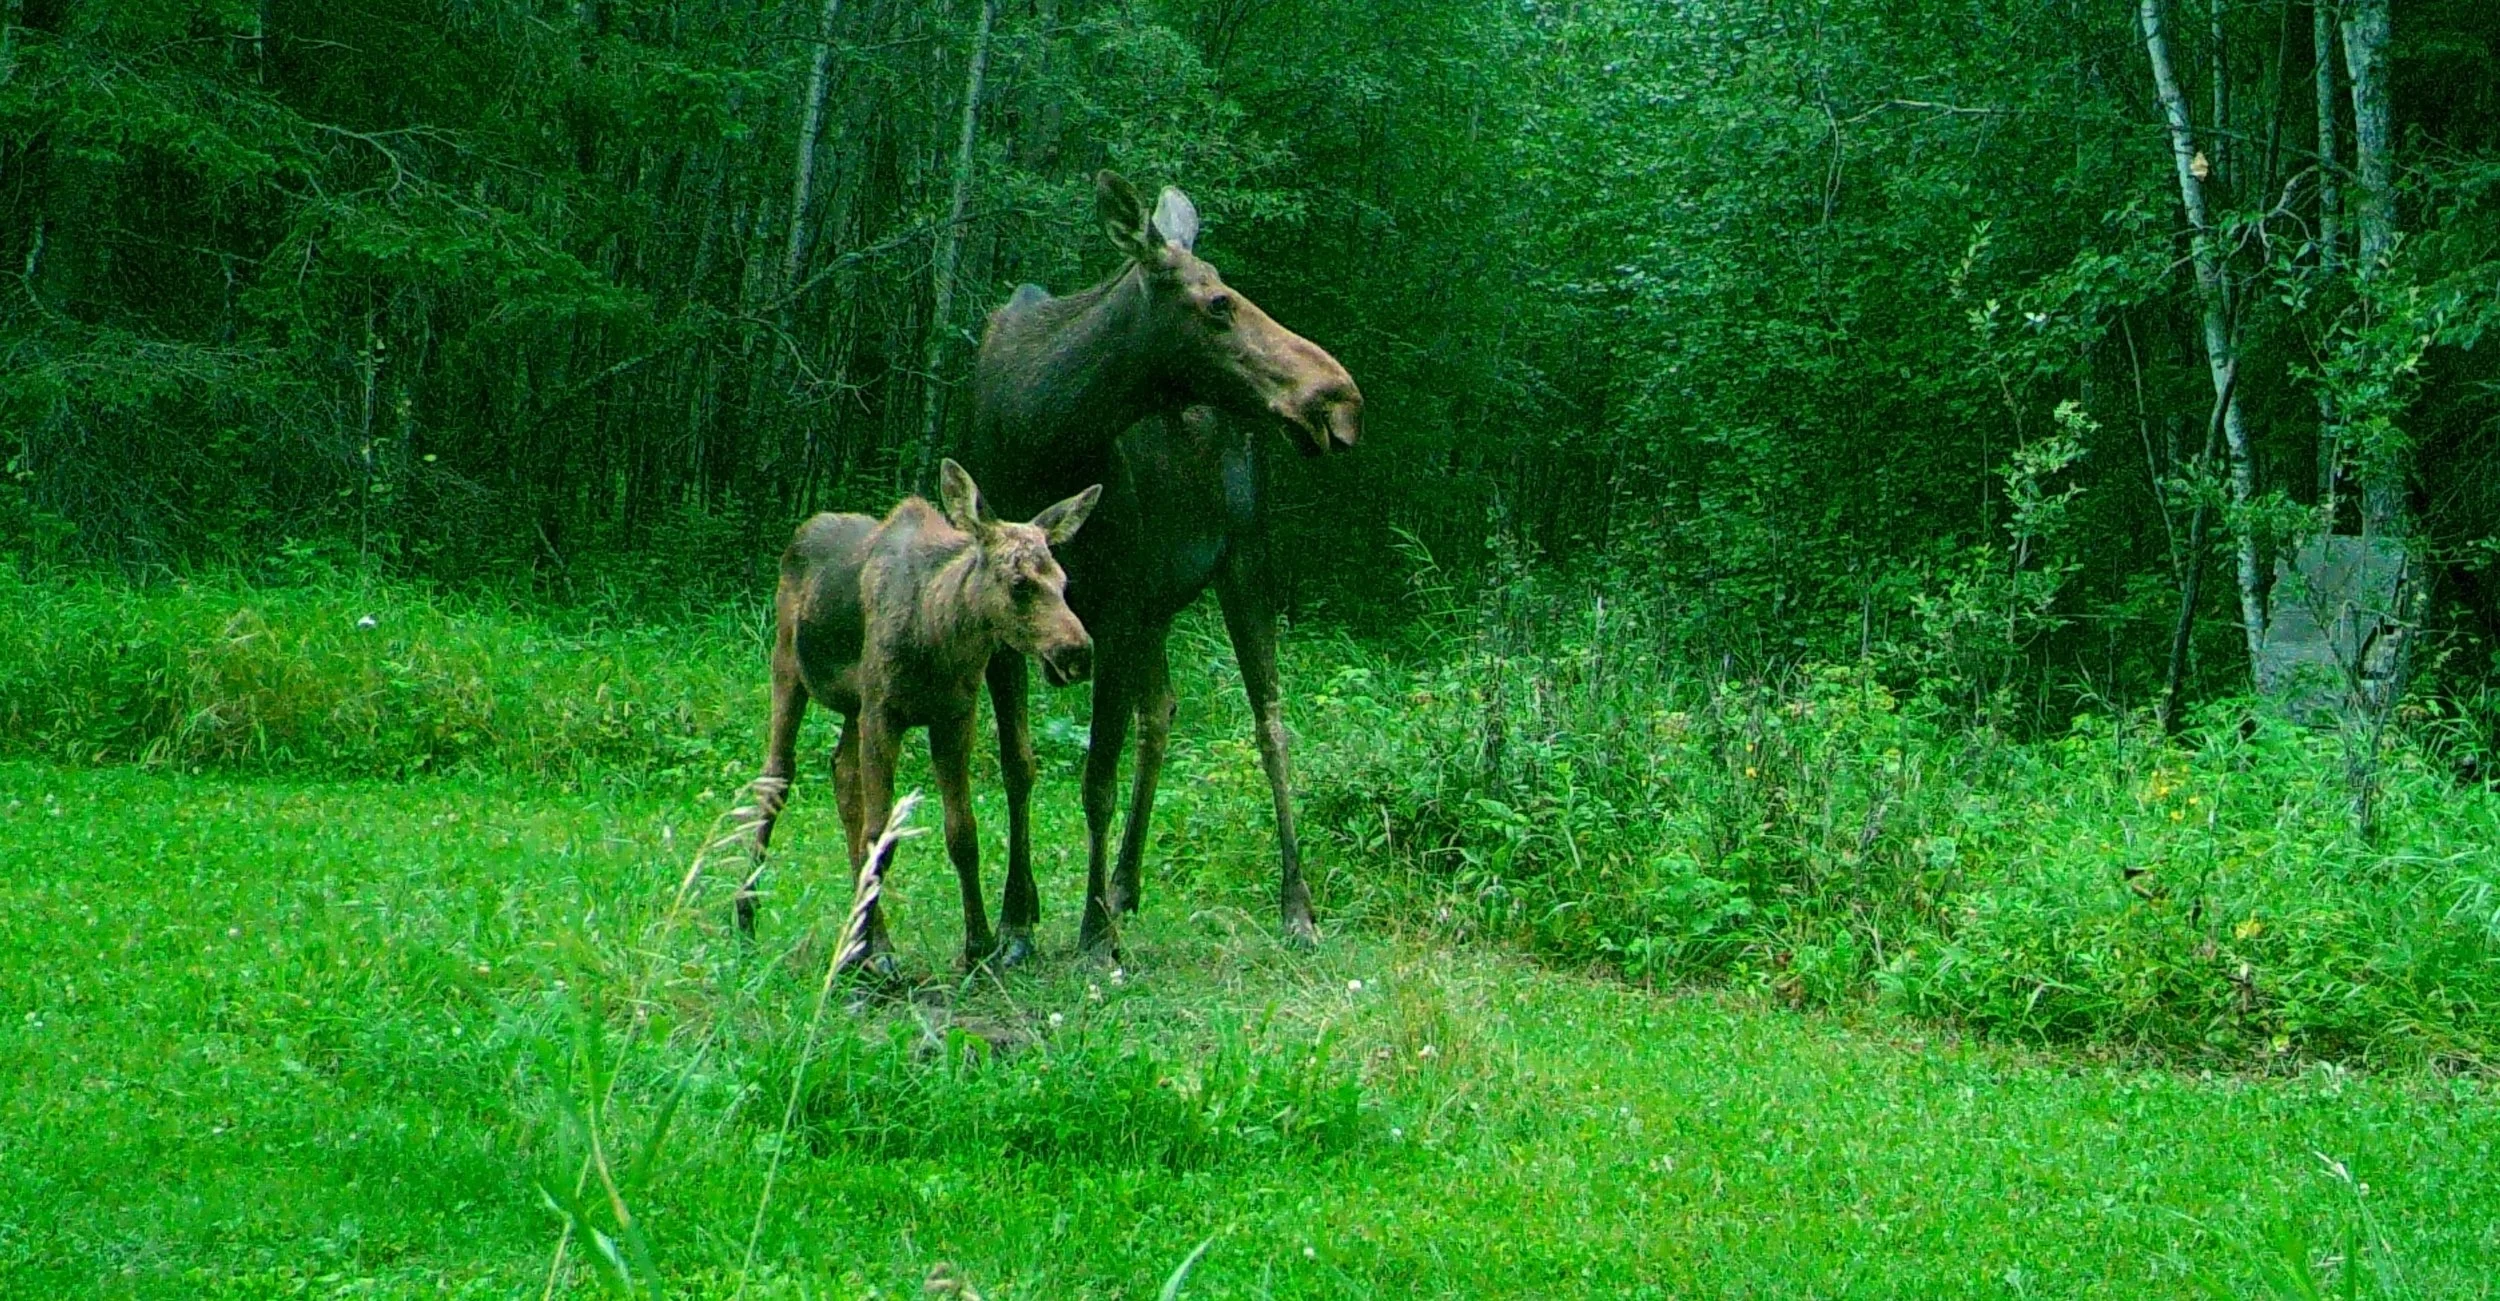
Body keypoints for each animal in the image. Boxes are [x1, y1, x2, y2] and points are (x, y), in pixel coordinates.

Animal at [737, 459, 1101, 974]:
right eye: (1019, 584)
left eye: (1063, 583)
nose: (1078, 653)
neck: (938, 637)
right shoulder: (884, 713)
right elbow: (880, 836)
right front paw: (875, 960)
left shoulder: (953, 716)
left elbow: (962, 832)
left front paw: (979, 944)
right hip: (789, 668)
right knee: (777, 778)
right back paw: (750, 918)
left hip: (854, 707)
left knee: (841, 775)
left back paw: (867, 940)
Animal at [962, 171, 1364, 961]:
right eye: (1217, 302)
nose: (1339, 399)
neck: (1040, 431)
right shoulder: (1019, 620)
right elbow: (1020, 766)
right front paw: (1016, 922)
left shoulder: (1112, 611)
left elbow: (1096, 778)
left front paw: (1092, 936)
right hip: (1156, 603)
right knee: (1163, 709)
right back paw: (1124, 884)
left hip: (1245, 558)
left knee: (1271, 721)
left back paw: (1295, 905)